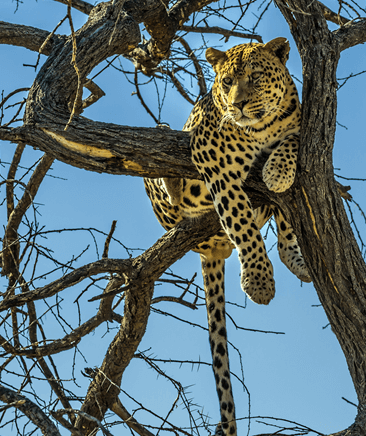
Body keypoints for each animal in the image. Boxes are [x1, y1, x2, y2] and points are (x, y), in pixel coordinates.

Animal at [144, 38, 310, 436]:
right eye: (227, 82)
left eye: (255, 76)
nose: (237, 105)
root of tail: (211, 253)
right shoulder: (216, 162)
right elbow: (240, 220)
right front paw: (259, 282)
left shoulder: (297, 127)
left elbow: (291, 142)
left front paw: (278, 170)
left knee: (283, 226)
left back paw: (298, 258)